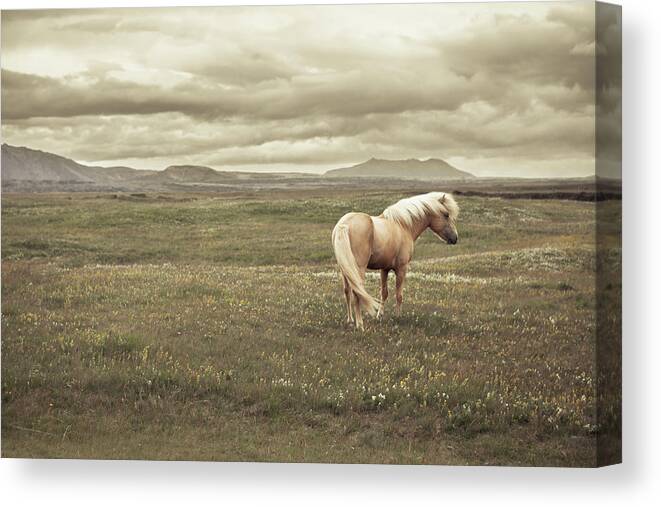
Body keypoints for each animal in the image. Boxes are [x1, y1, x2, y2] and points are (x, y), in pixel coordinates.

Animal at [332, 192, 456, 332]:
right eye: (446, 215)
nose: (455, 238)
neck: (403, 225)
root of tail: (344, 225)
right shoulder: (401, 268)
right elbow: (399, 295)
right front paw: (398, 317)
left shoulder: (384, 269)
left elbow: (384, 293)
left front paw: (379, 315)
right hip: (358, 269)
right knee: (357, 292)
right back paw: (360, 324)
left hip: (345, 270)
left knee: (347, 291)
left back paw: (350, 320)